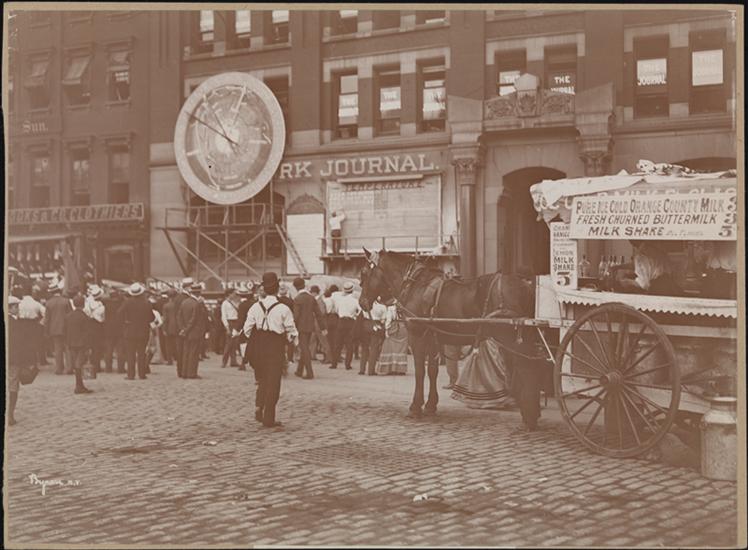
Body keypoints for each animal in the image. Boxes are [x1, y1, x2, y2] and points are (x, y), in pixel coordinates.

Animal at [358, 249, 547, 428]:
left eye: (364, 273)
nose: (362, 303)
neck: (415, 285)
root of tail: (525, 285)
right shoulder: (432, 339)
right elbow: (432, 371)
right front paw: (430, 405)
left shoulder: (417, 335)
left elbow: (420, 372)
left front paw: (415, 407)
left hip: (511, 338)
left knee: (528, 368)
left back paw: (529, 416)